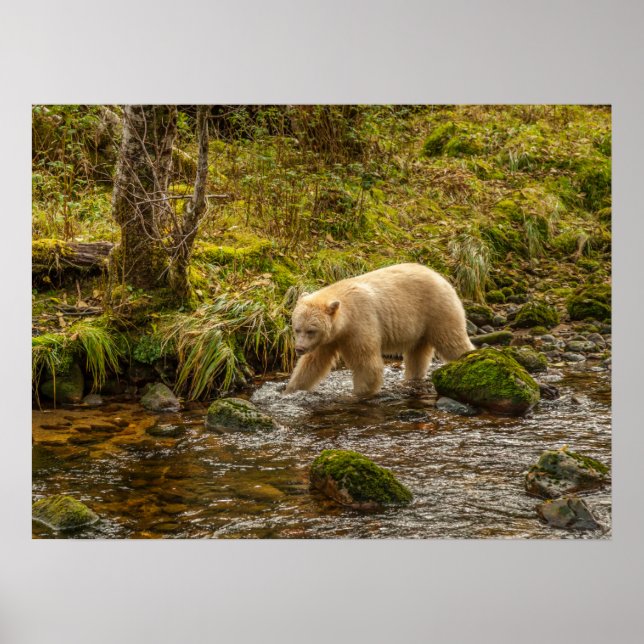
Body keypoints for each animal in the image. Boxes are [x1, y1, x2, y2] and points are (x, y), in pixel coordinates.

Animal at [284, 263, 474, 397]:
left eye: (311, 330)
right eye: (297, 329)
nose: (299, 348)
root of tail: (441, 276)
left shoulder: (360, 324)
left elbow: (367, 364)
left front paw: (358, 394)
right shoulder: (329, 339)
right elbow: (312, 364)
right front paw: (290, 390)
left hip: (437, 310)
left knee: (452, 341)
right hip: (420, 327)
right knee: (417, 355)